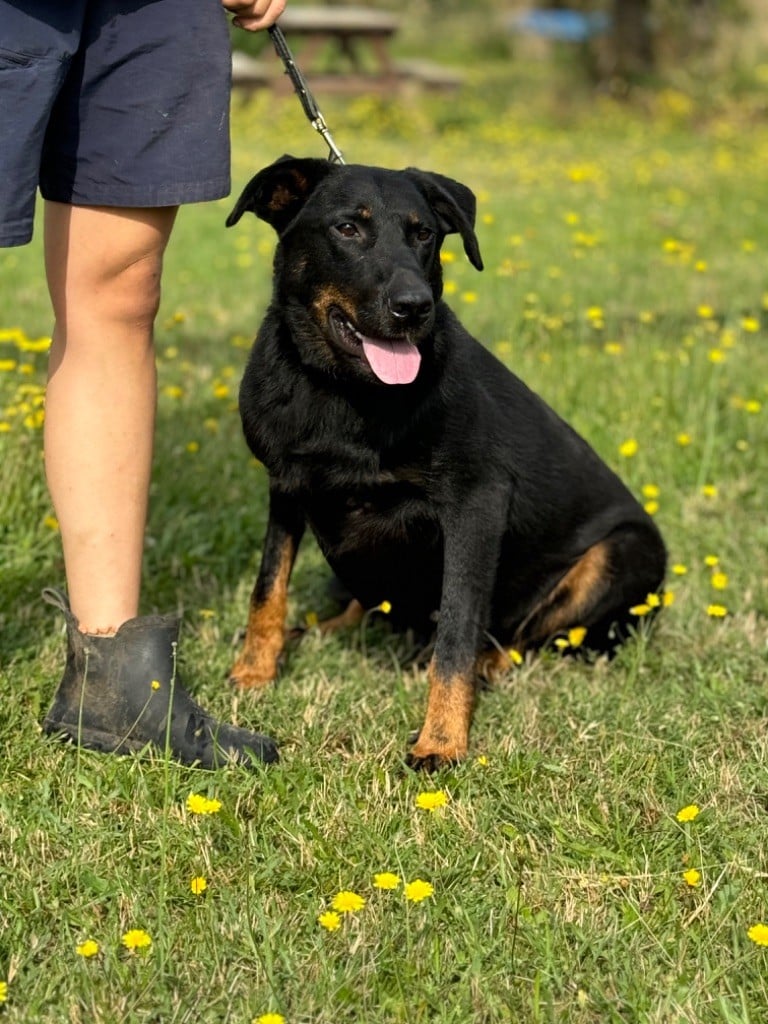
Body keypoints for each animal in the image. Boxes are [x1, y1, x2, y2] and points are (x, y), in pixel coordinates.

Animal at [224, 155, 667, 770]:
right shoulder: (286, 486)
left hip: (623, 552)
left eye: (425, 234)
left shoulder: (475, 505)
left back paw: (488, 663)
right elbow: (268, 587)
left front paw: (441, 741)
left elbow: (457, 630)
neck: (345, 393)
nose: (415, 308)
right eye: (347, 228)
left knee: (526, 637)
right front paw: (255, 670)